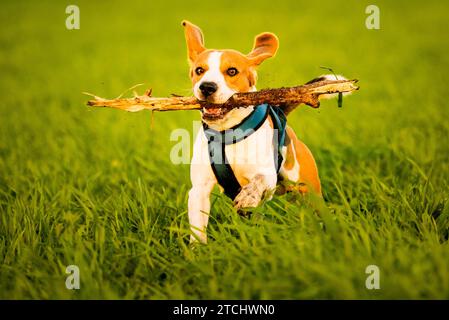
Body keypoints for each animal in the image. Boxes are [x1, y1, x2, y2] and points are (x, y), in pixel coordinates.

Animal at [182, 21, 322, 244]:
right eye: (199, 70)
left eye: (232, 71)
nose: (207, 87)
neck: (227, 133)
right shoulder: (199, 190)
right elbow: (197, 228)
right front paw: (198, 250)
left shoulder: (267, 176)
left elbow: (259, 180)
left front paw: (249, 194)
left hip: (308, 190)